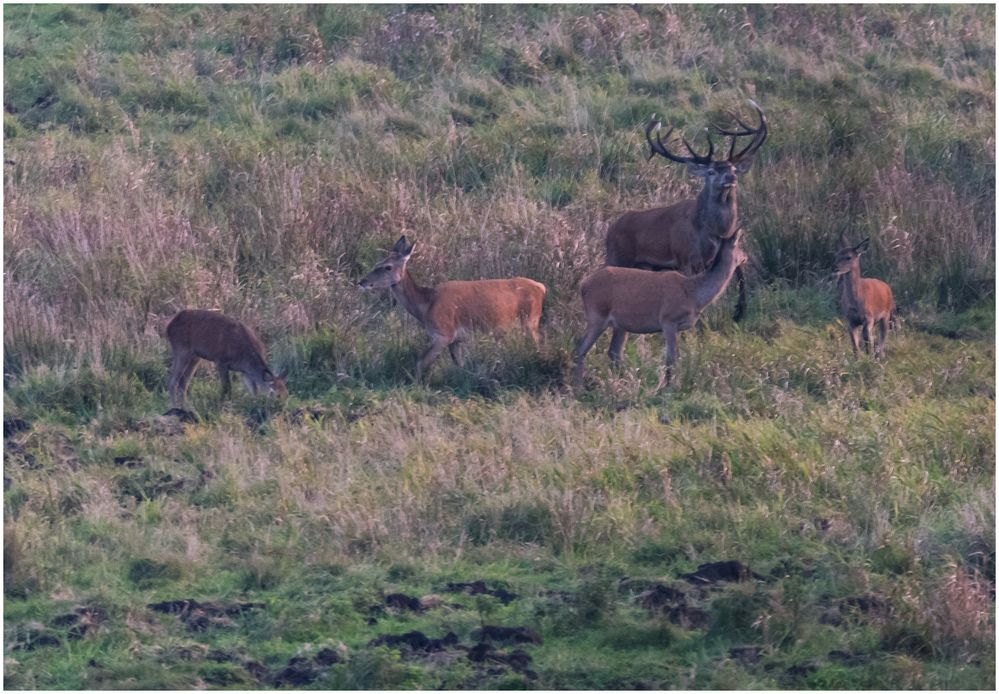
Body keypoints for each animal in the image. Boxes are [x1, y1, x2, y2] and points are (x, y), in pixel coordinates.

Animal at [360, 237, 548, 384]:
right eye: (377, 263)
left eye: (388, 267)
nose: (362, 282)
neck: (426, 305)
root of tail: (541, 287)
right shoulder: (455, 340)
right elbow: (460, 366)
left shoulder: (444, 333)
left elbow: (420, 362)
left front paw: (416, 387)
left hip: (530, 321)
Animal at [576, 228, 748, 392]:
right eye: (739, 244)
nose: (745, 256)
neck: (693, 294)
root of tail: (583, 285)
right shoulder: (668, 320)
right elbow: (671, 358)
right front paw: (669, 388)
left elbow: (676, 356)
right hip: (597, 314)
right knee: (580, 349)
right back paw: (580, 387)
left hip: (620, 325)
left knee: (614, 352)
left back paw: (620, 385)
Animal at [600, 102, 772, 364]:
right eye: (711, 171)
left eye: (732, 167)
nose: (730, 177)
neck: (712, 231)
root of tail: (611, 228)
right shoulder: (686, 258)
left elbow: (739, 272)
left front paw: (739, 312)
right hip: (618, 256)